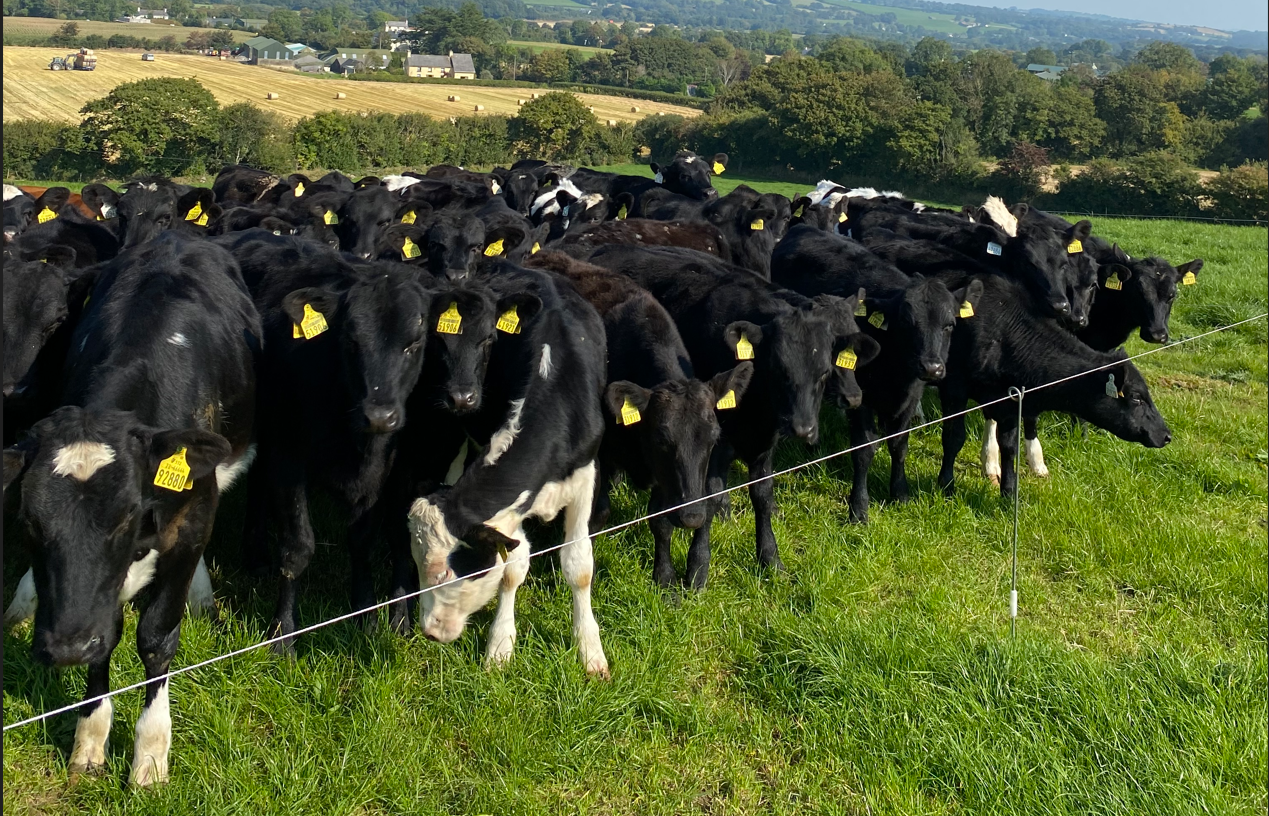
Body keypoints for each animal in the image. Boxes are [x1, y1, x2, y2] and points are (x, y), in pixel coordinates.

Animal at [2, 233, 258, 787]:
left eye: (123, 516)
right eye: (29, 523)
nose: (67, 648)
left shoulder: (192, 522)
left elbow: (157, 637)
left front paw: (150, 754)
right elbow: (108, 634)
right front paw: (90, 737)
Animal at [406, 262, 611, 677]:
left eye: (446, 572)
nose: (430, 631)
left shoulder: (585, 477)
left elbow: (579, 565)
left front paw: (589, 650)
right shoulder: (511, 509)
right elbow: (513, 568)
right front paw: (501, 645)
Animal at [525, 250, 754, 588]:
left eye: (713, 437)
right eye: (662, 439)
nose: (692, 516)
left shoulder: (663, 476)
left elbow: (660, 520)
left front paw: (666, 579)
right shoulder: (603, 455)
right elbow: (598, 515)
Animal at [583, 244, 879, 575]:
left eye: (825, 370)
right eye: (777, 368)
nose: (803, 428)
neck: (756, 408)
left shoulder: (764, 445)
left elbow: (762, 494)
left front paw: (770, 557)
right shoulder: (716, 444)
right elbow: (709, 496)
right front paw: (697, 568)